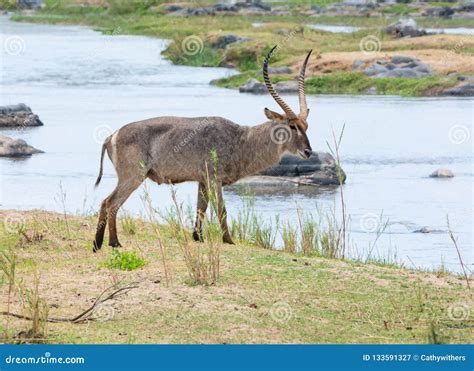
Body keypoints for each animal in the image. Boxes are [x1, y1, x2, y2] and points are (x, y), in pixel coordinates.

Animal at [92, 45, 314, 251]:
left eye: (306, 125)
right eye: (292, 126)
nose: (308, 152)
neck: (242, 140)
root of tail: (111, 135)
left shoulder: (203, 181)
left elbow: (201, 208)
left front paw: (197, 237)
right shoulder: (215, 179)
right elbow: (221, 209)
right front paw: (229, 240)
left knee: (107, 203)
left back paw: (100, 243)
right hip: (133, 176)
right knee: (110, 202)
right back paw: (111, 242)